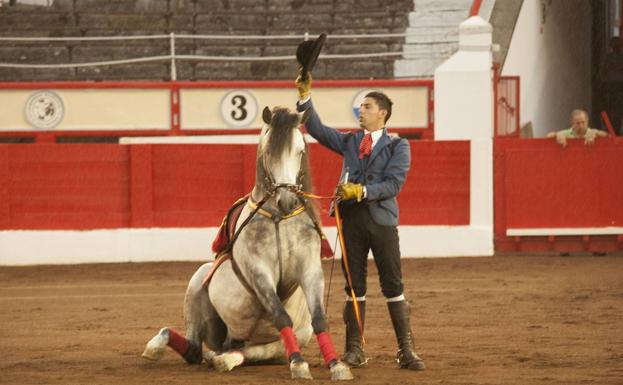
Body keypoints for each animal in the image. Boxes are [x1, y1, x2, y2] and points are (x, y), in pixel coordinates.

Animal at [143, 106, 354, 380]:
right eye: (268, 151)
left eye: (300, 150)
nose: (287, 199)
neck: (279, 218)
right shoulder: (259, 273)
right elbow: (281, 315)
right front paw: (299, 364)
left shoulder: (310, 270)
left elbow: (319, 318)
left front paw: (337, 365)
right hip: (198, 285)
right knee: (193, 349)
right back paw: (158, 346)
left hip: (285, 339)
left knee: (247, 351)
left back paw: (223, 359)